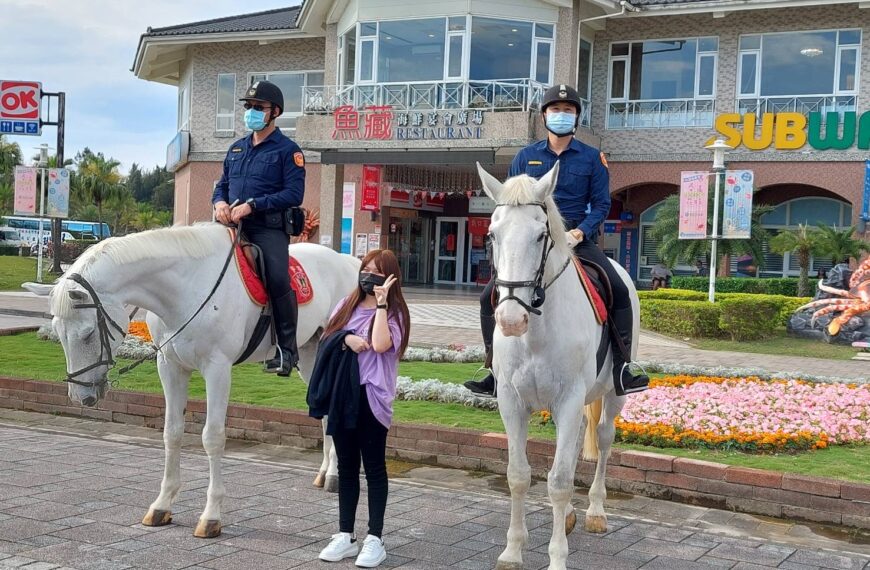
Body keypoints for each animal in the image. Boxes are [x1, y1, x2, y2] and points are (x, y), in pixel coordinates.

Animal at [25, 223, 362, 536]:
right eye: (59, 334)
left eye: (88, 334)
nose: (82, 397)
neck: (187, 288)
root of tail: (348, 262)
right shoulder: (170, 366)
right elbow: (172, 433)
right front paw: (161, 506)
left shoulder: (217, 368)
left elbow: (212, 437)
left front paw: (211, 516)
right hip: (309, 354)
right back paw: (325, 473)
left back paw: (334, 475)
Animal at [480, 161, 636, 568]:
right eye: (492, 234)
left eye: (540, 235)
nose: (511, 319)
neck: (536, 330)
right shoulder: (511, 401)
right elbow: (519, 475)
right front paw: (513, 550)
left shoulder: (567, 401)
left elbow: (560, 481)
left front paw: (556, 558)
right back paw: (567, 518)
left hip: (613, 394)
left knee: (604, 438)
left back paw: (595, 511)